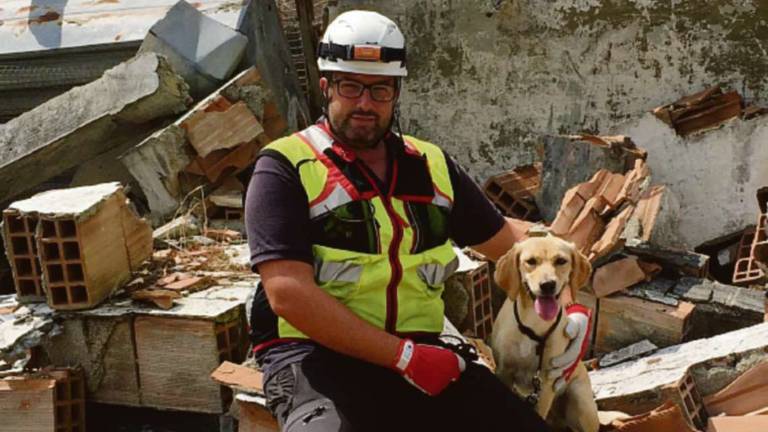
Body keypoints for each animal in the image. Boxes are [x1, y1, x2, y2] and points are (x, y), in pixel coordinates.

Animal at [492, 236, 600, 432]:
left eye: (561, 261)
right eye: (531, 261)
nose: (548, 285)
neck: (533, 325)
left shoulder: (546, 383)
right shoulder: (503, 371)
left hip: (580, 402)